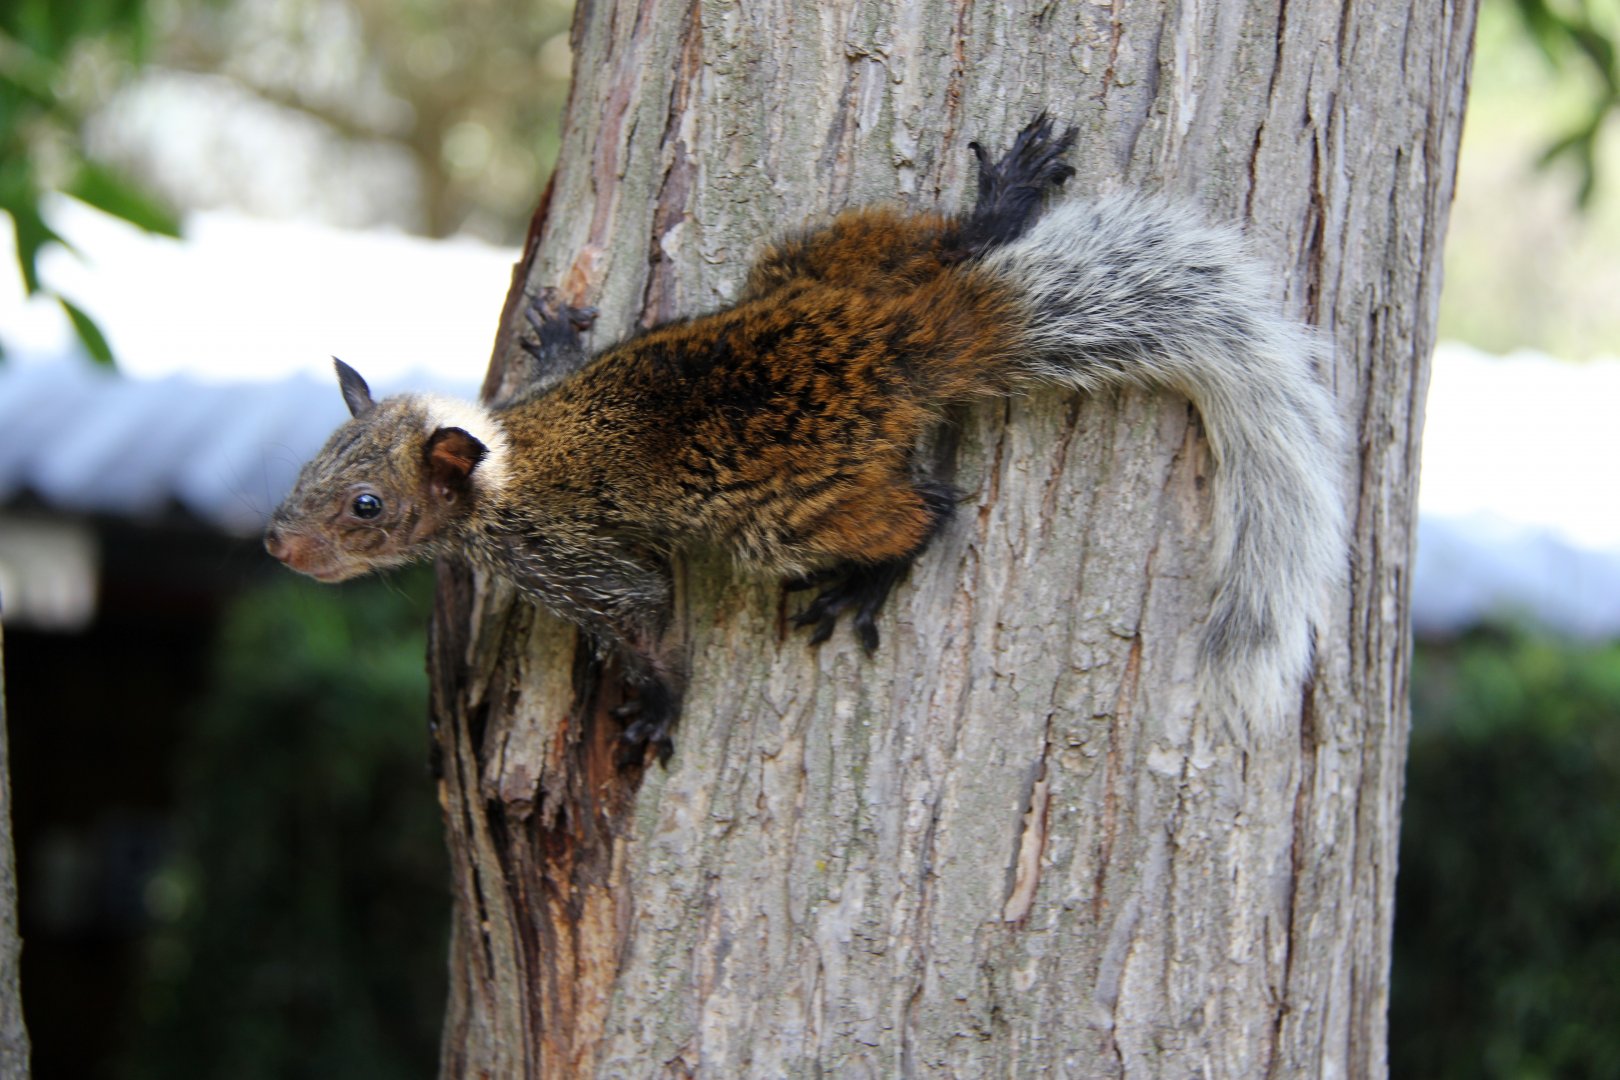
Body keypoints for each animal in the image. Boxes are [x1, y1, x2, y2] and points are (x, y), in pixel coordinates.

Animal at [264, 114, 1346, 761]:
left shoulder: (579, 563)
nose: (278, 543)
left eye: (366, 507)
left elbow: (652, 623)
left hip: (784, 516)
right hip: (817, 258)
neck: (504, 464)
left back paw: (866, 579)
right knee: (938, 250)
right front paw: (561, 328)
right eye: (309, 466)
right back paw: (1000, 203)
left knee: (926, 510)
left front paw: (657, 708)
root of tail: (903, 344)